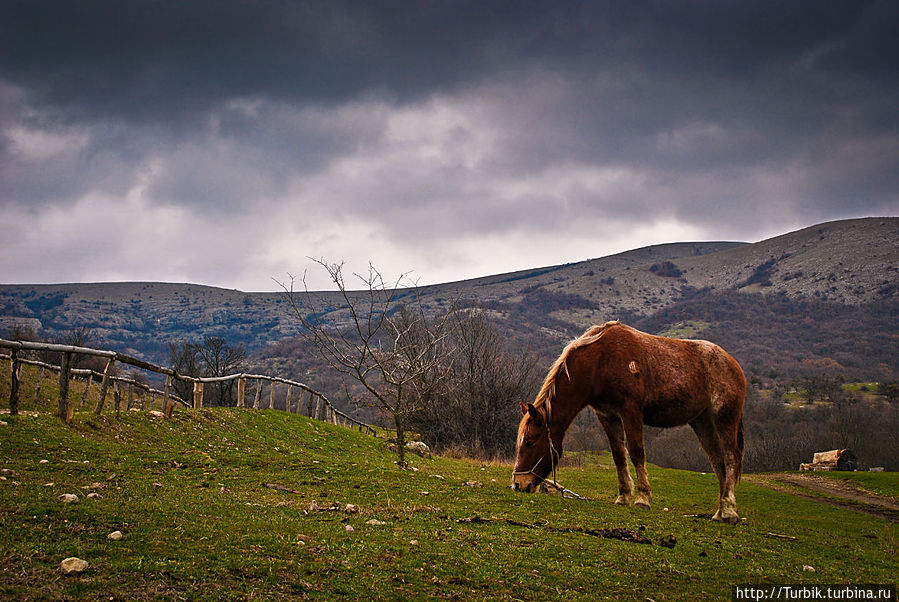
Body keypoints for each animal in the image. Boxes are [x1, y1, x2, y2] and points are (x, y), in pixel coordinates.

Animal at [512, 318, 744, 520]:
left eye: (531, 442)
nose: (517, 484)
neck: (600, 362)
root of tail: (733, 364)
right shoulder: (607, 416)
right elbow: (618, 456)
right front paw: (623, 497)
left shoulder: (630, 411)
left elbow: (636, 453)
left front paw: (643, 499)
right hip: (702, 423)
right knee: (718, 462)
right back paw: (720, 512)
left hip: (725, 418)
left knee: (730, 457)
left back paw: (729, 510)